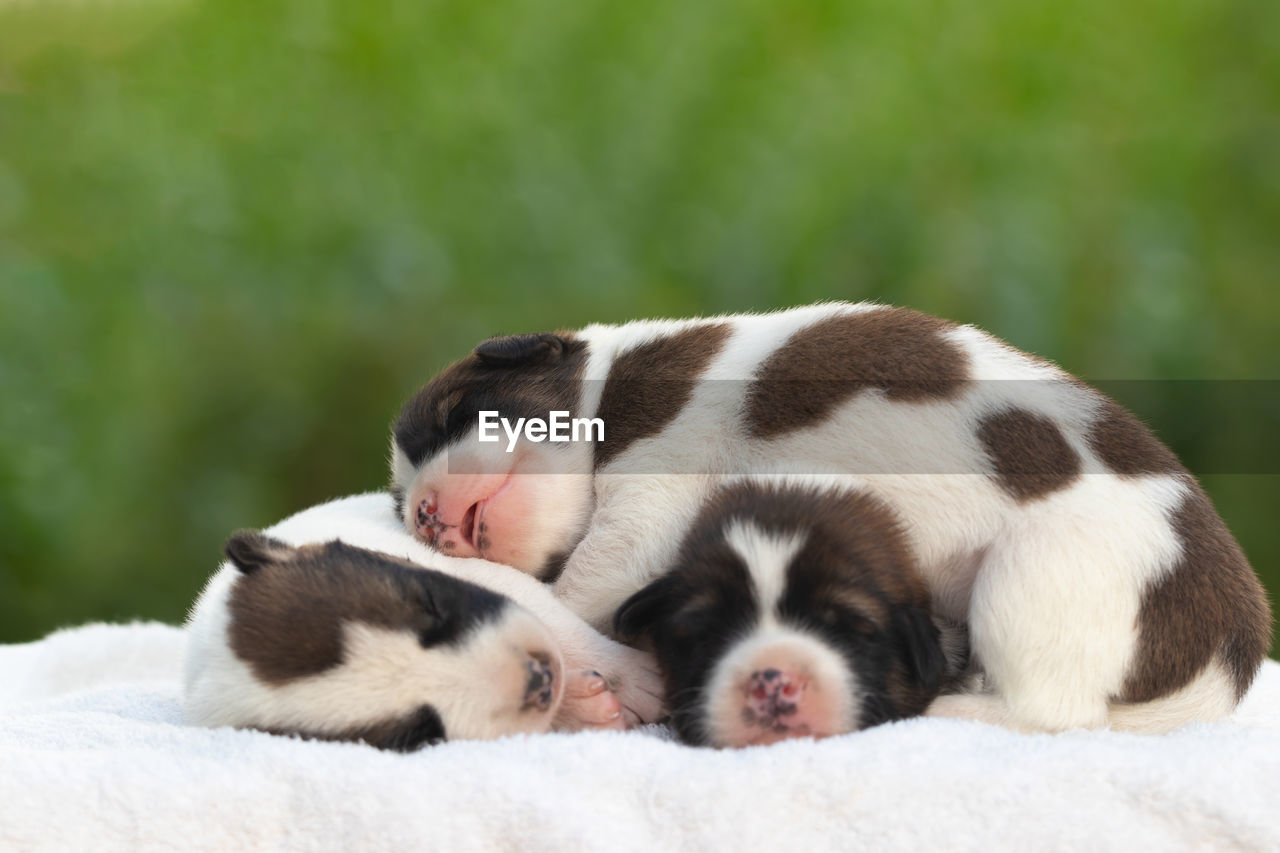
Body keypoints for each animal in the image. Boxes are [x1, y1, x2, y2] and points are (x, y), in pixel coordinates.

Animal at [185, 491, 665, 742]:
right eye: (420, 733)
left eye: (430, 604)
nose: (541, 677)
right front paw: (583, 707)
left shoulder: (483, 574)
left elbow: (558, 620)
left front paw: (639, 678)